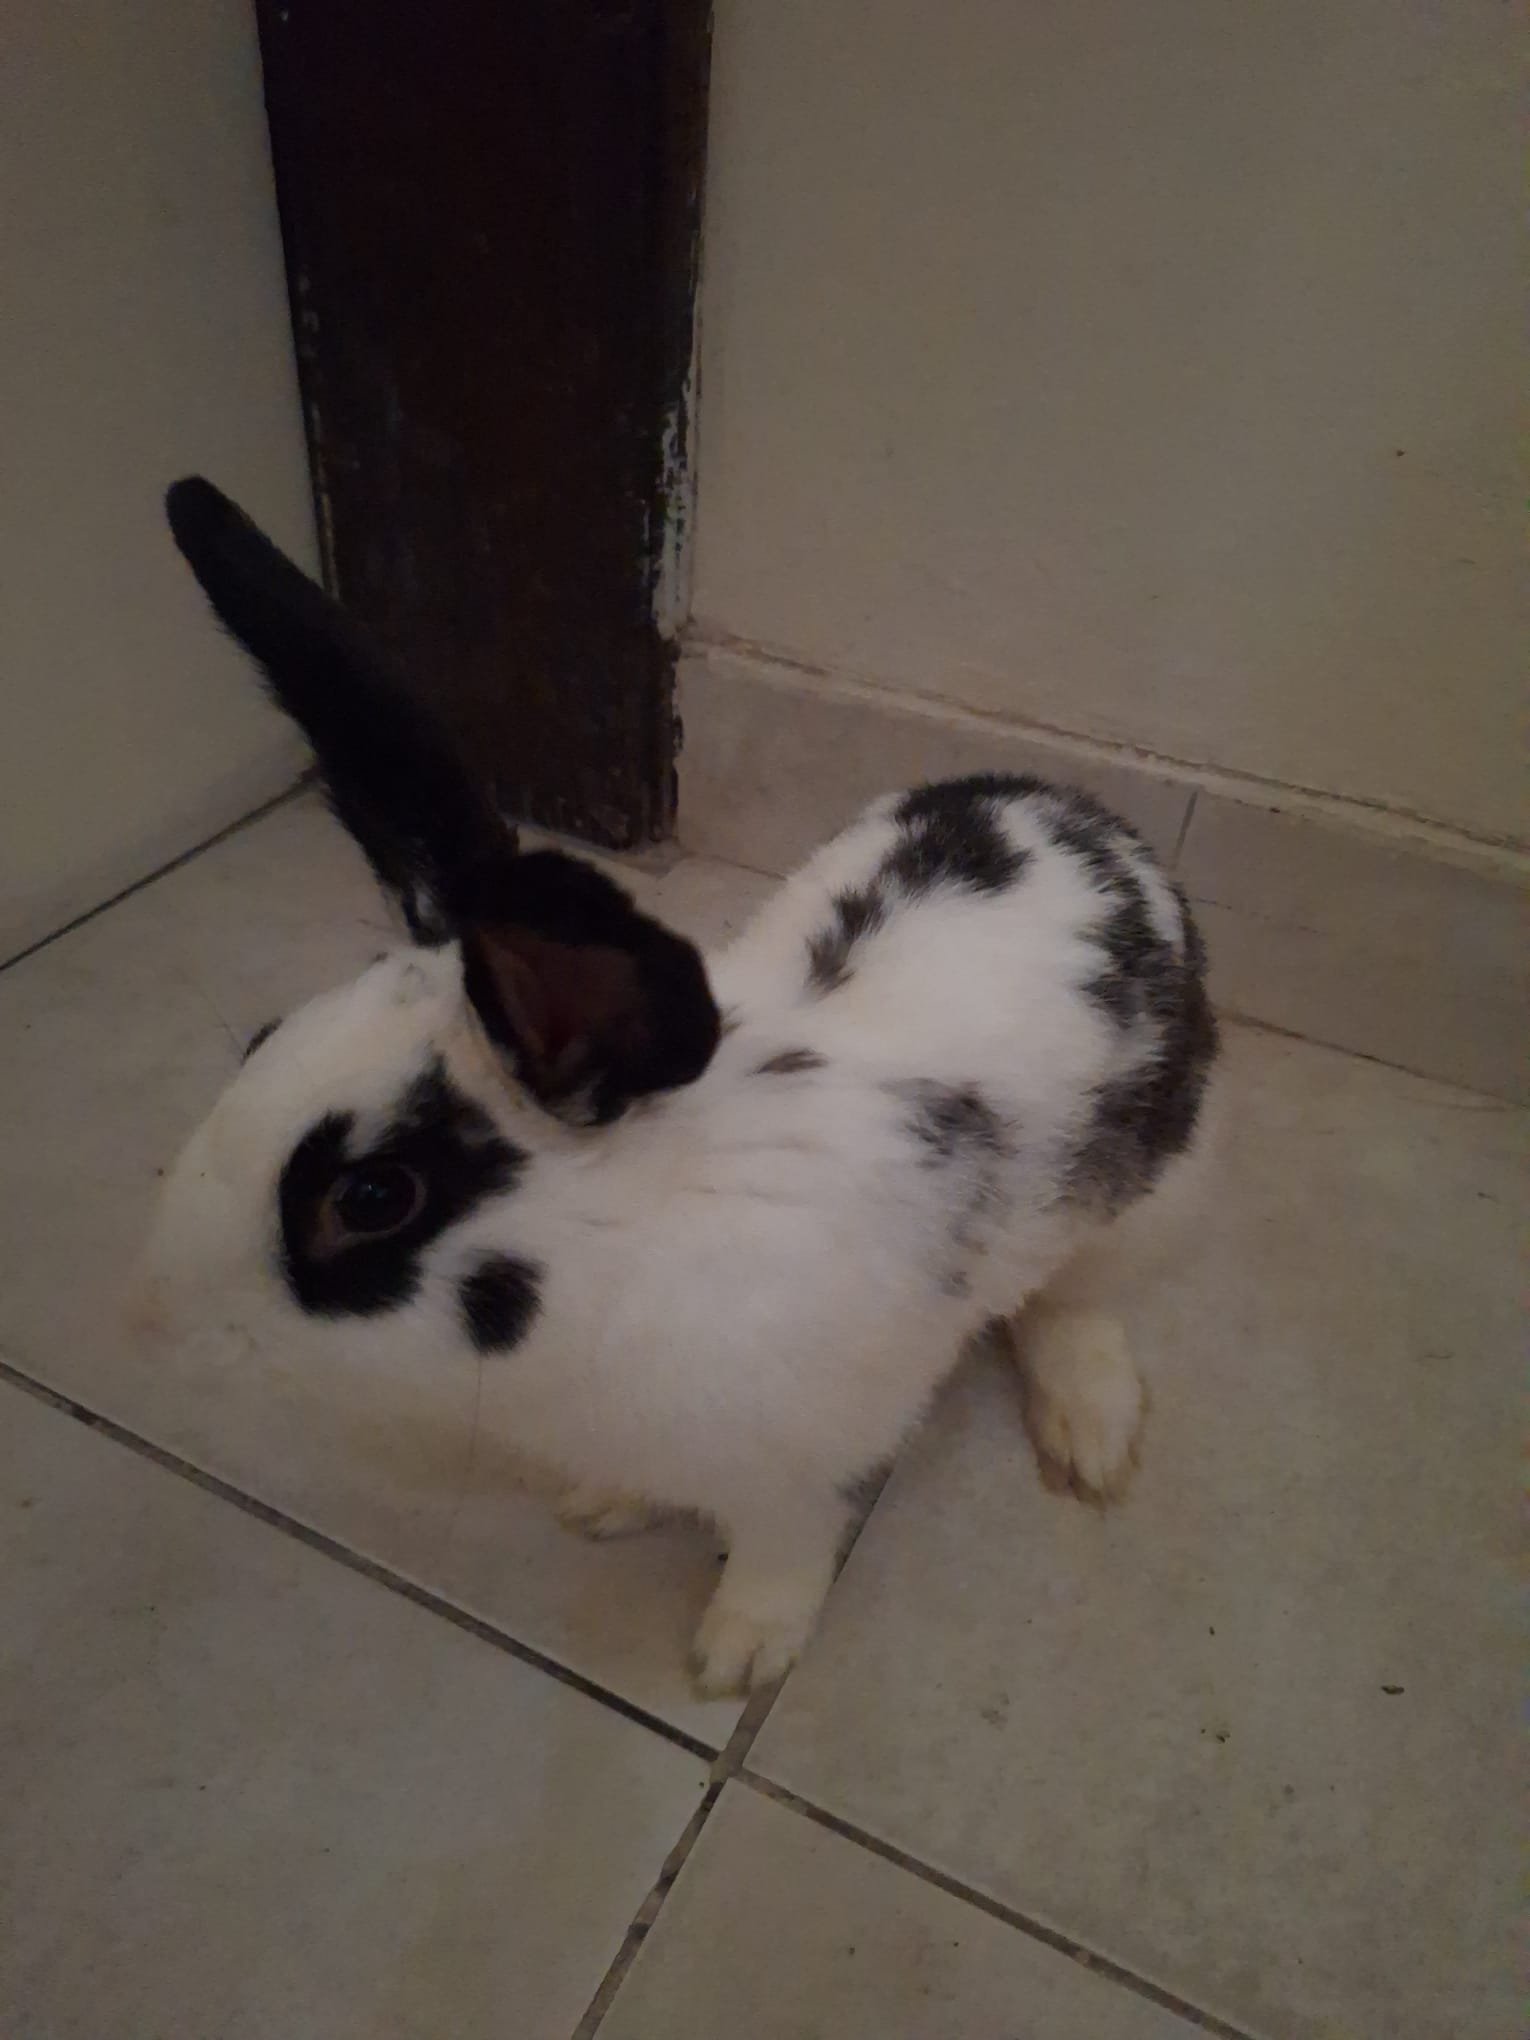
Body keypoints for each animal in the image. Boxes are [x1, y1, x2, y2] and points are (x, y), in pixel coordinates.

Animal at [132, 477, 1219, 1696]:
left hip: (1150, 1194)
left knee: (1072, 1300)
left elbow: (787, 1541)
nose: (143, 1316)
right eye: (261, 1038)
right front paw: (606, 1504)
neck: (628, 1241)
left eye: (372, 1199)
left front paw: (741, 1655)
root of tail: (1092, 820)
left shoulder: (813, 1452)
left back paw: (1090, 1433)